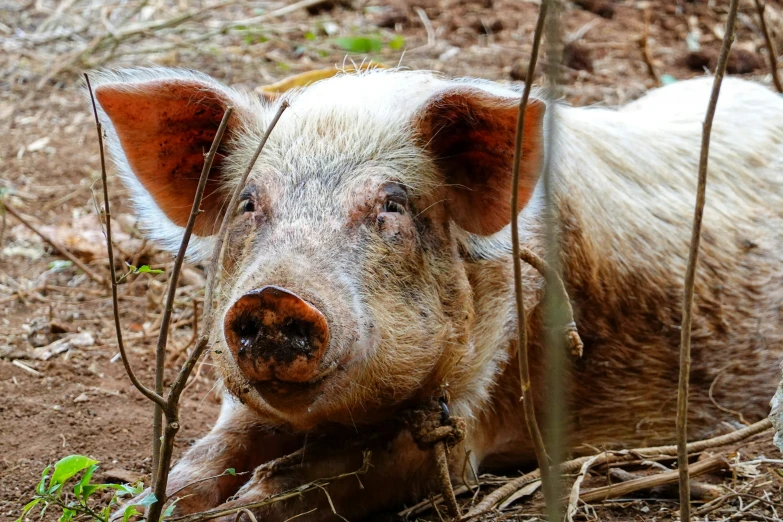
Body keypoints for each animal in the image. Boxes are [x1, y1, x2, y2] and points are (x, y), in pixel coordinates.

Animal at [93, 67, 783, 516]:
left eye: (392, 204)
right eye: (247, 202)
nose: (271, 296)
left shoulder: (471, 414)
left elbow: (345, 474)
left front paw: (243, 505)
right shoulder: (243, 406)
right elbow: (207, 455)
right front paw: (146, 506)